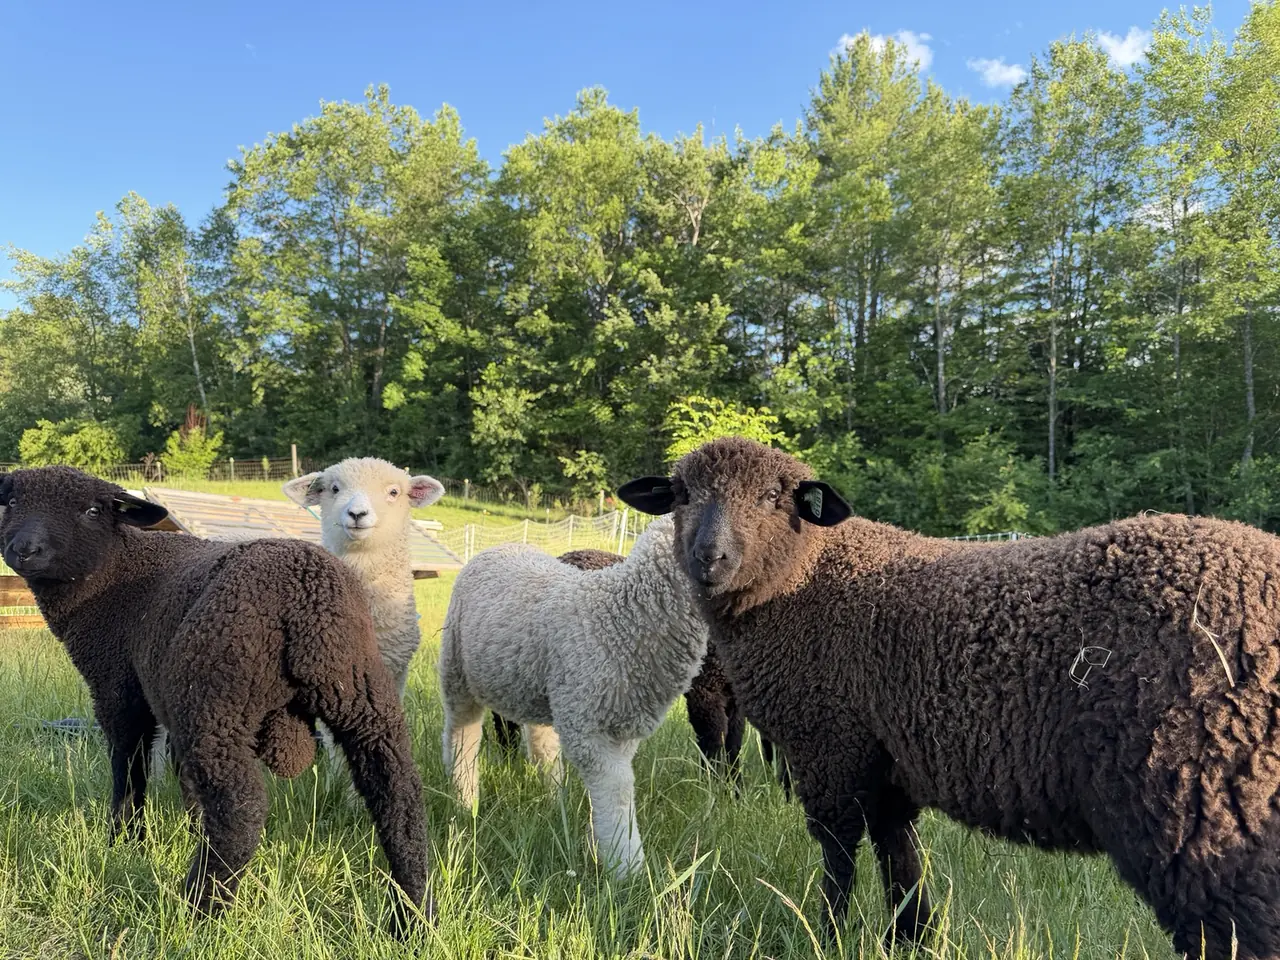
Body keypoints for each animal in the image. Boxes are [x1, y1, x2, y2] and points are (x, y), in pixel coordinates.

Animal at [0, 467, 431, 931]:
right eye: (11, 502)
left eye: (92, 510)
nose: (24, 551)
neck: (113, 574)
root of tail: (306, 601)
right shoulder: (168, 704)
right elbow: (182, 774)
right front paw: (187, 829)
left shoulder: (119, 687)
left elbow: (128, 767)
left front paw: (125, 840)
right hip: (358, 689)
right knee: (399, 798)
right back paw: (412, 919)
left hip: (216, 697)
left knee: (240, 810)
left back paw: (198, 910)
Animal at [439, 515, 709, 877]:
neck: (619, 615)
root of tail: (501, 546)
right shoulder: (587, 724)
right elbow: (617, 788)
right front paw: (627, 868)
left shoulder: (623, 725)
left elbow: (615, 786)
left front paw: (609, 851)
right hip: (457, 670)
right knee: (461, 734)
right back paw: (465, 800)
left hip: (537, 684)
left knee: (542, 743)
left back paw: (554, 798)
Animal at [618, 436, 1280, 960]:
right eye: (680, 495)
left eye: (772, 498)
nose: (710, 558)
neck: (803, 579)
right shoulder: (884, 756)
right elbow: (900, 857)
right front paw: (910, 939)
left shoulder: (827, 743)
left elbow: (839, 855)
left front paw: (826, 936)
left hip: (1205, 806)